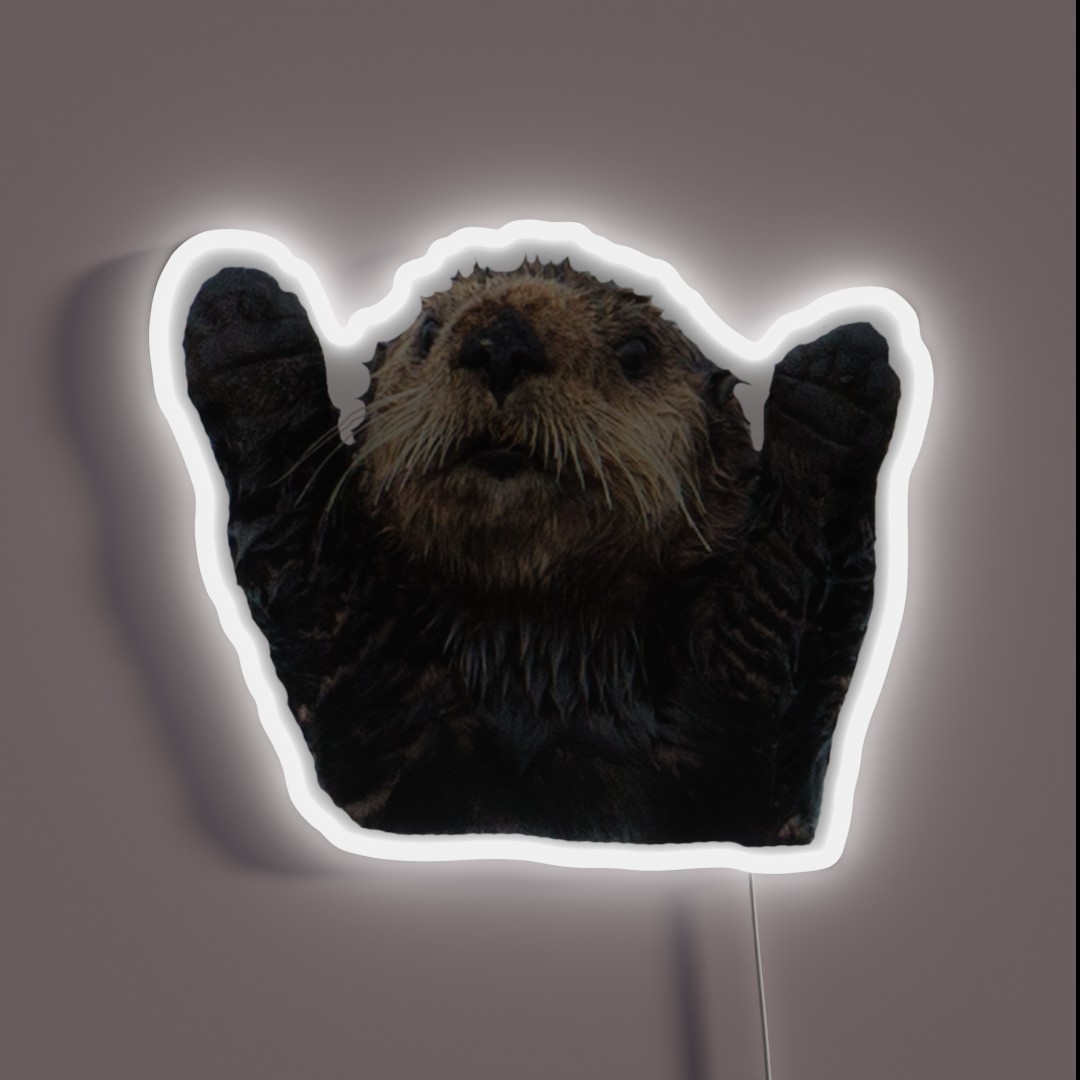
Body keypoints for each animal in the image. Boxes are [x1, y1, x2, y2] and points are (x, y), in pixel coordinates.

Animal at [184, 259, 900, 845]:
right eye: (427, 333)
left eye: (635, 351)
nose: (500, 343)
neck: (539, 662)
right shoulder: (368, 705)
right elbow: (308, 564)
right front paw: (240, 314)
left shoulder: (747, 756)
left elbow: (785, 634)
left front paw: (841, 374)